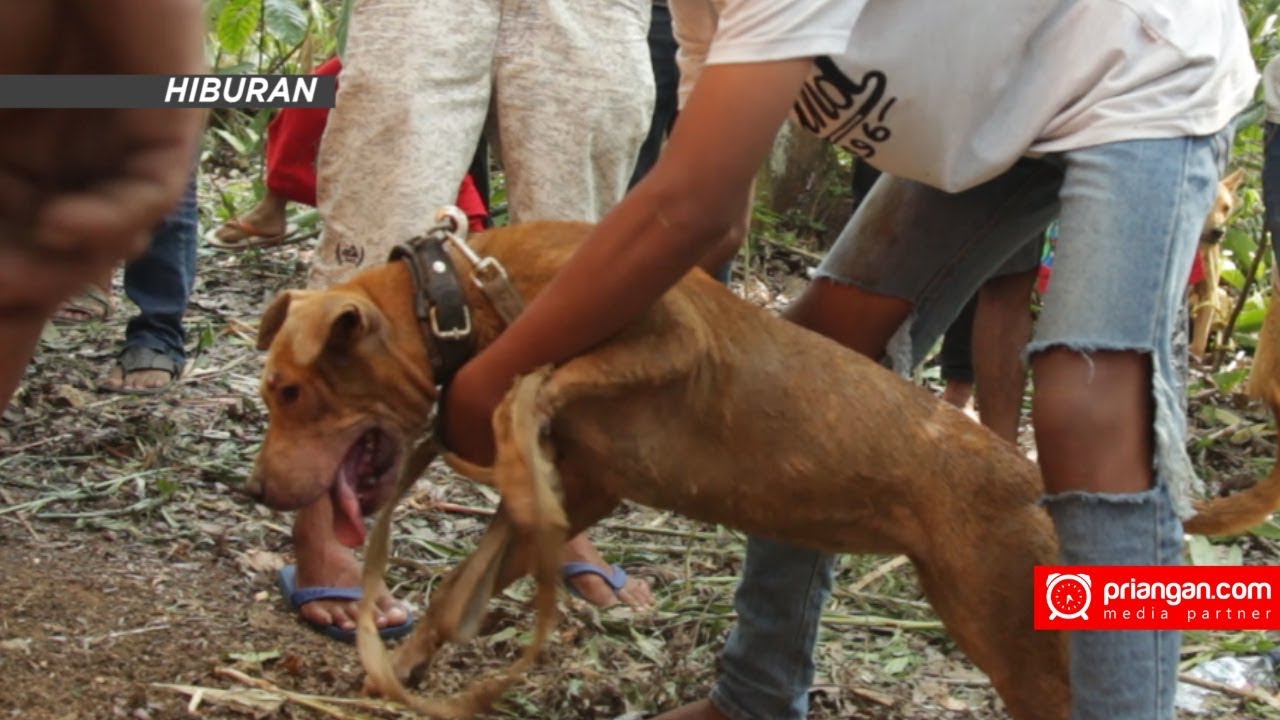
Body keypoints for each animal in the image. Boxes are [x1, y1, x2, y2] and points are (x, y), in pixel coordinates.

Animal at [247, 220, 1280, 717]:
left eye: (291, 391)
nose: (256, 490)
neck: (463, 294)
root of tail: (1035, 481)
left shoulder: (673, 335)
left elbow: (535, 384)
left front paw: (509, 418)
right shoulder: (587, 488)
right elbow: (459, 594)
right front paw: (402, 667)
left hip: (1020, 644)